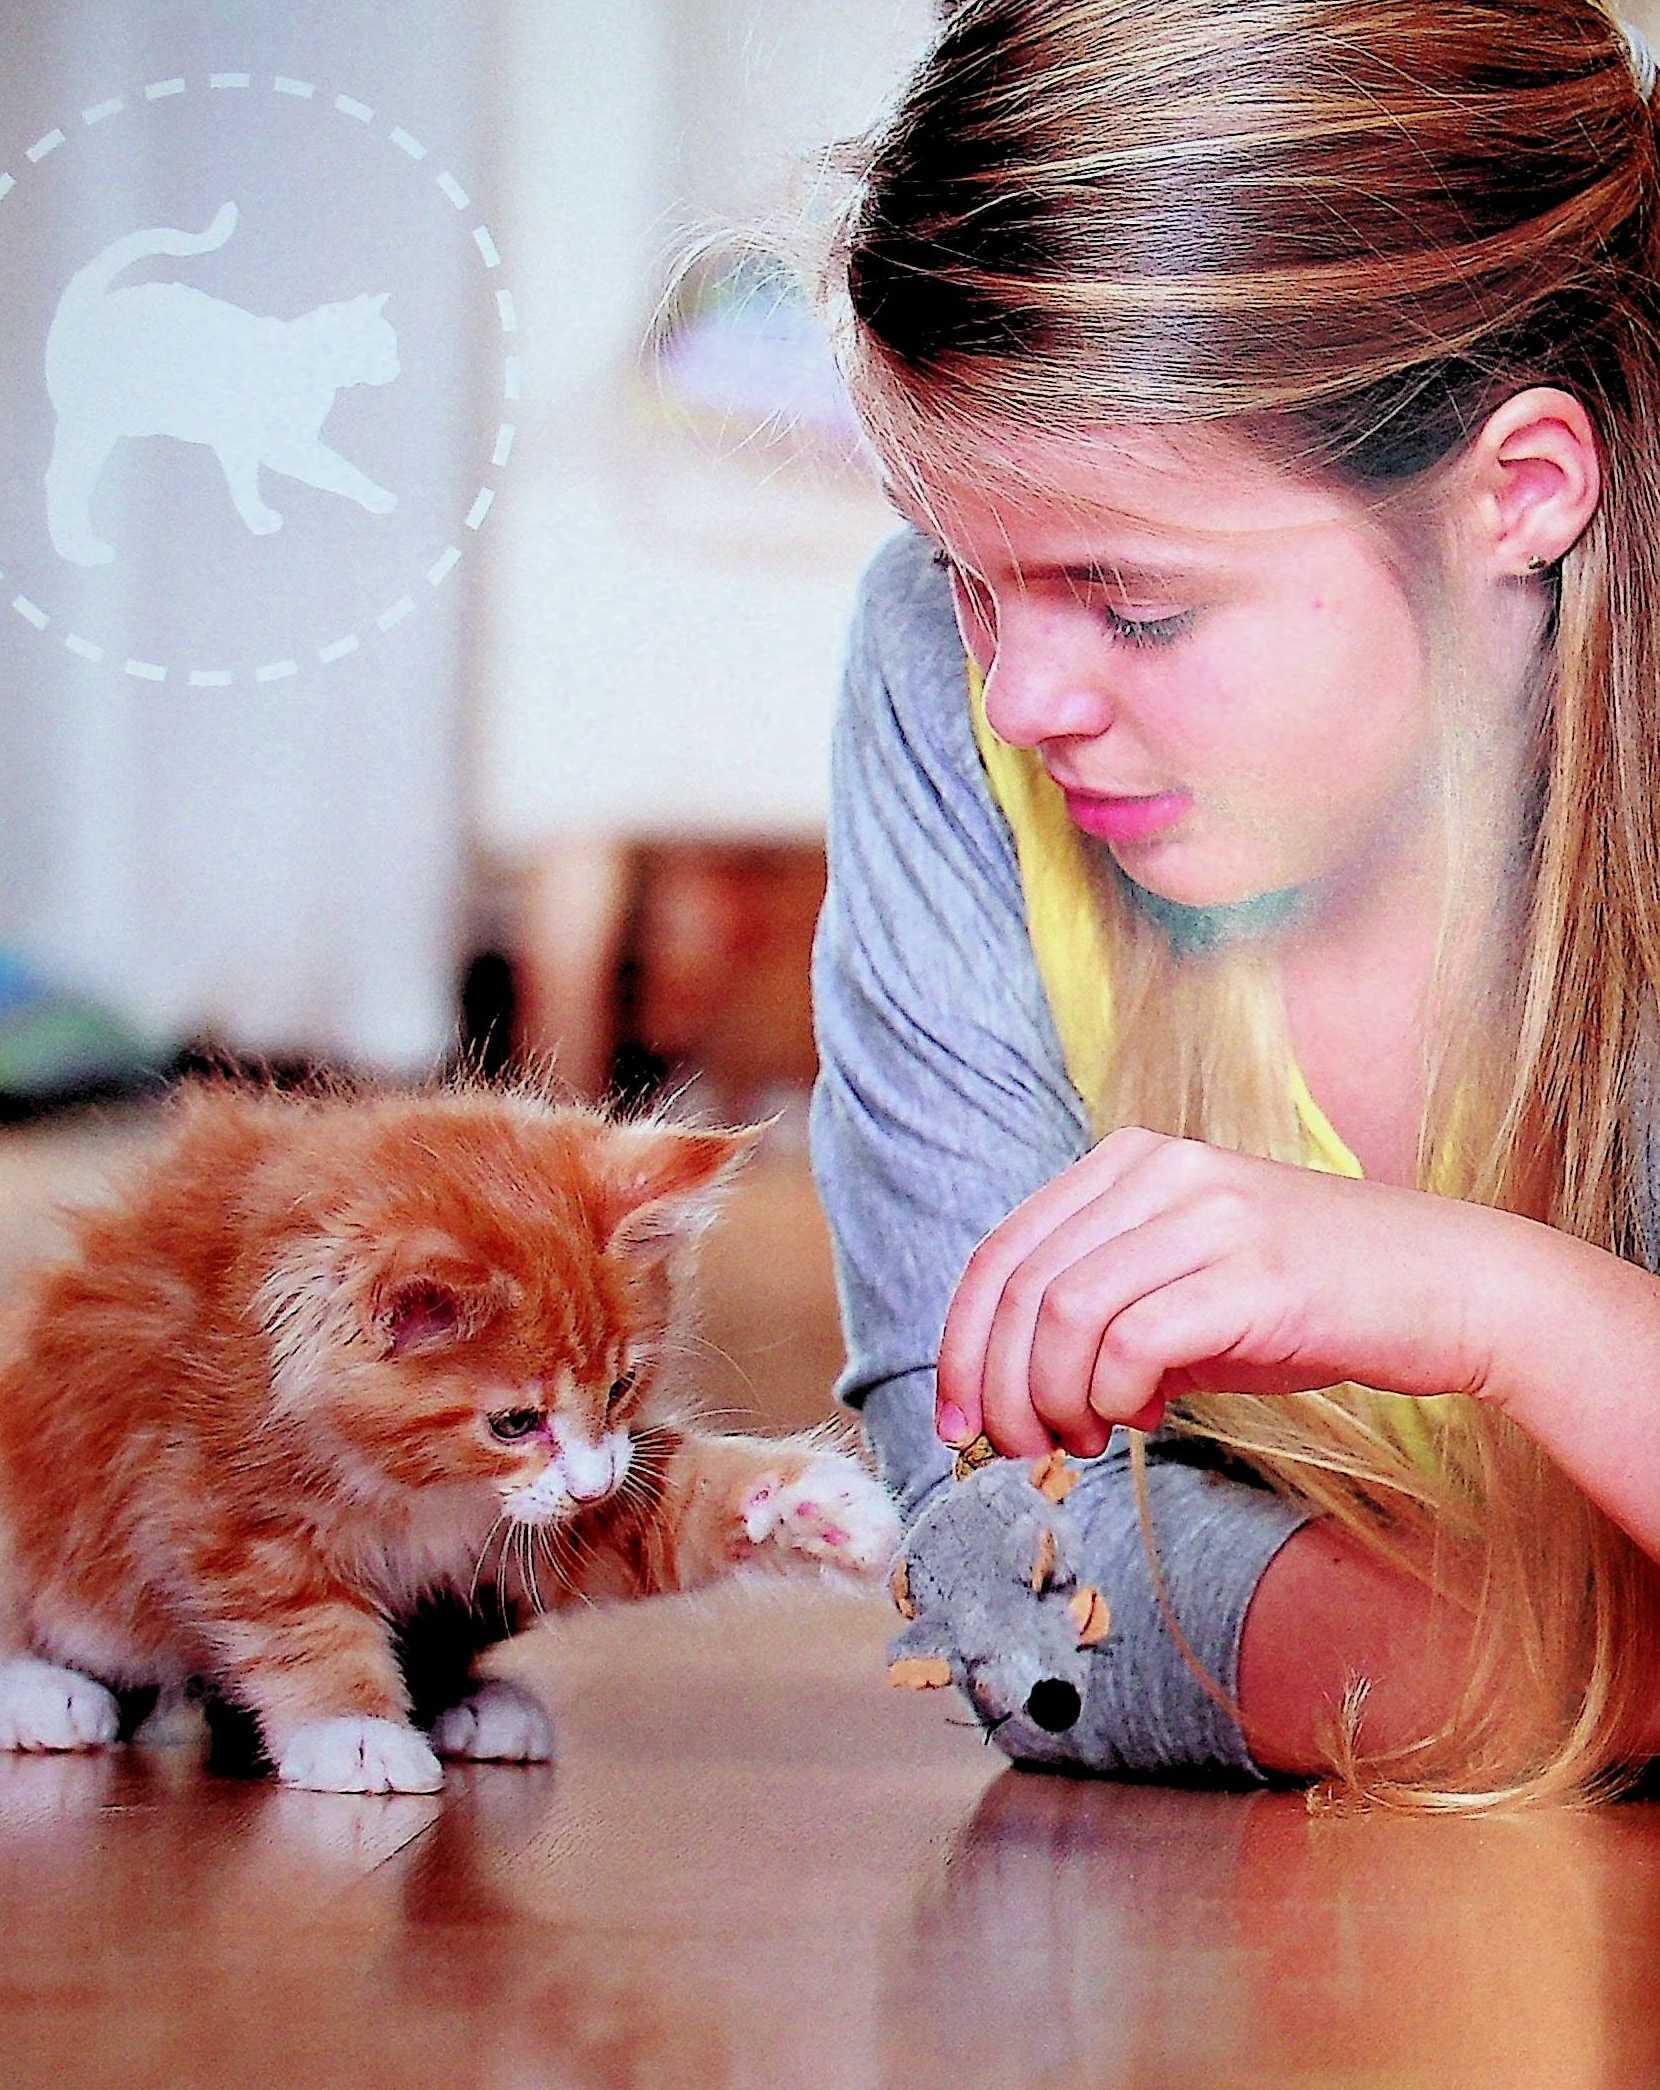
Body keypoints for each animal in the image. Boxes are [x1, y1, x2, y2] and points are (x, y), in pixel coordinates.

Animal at [0, 1070, 899, 1793]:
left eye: (620, 1387)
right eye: (514, 1423)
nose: (594, 1483)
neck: (418, 1485)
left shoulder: (554, 1519)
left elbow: (676, 1505)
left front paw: (821, 1504)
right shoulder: (220, 1511)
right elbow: (302, 1627)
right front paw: (355, 1730)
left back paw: (472, 1705)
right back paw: (44, 1695)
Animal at [43, 201, 399, 568]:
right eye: (384, 346)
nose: (397, 366)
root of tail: (87, 303)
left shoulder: (253, 444)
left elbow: (259, 480)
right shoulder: (274, 444)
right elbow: (335, 469)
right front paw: (377, 497)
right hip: (94, 427)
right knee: (61, 480)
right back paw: (78, 549)